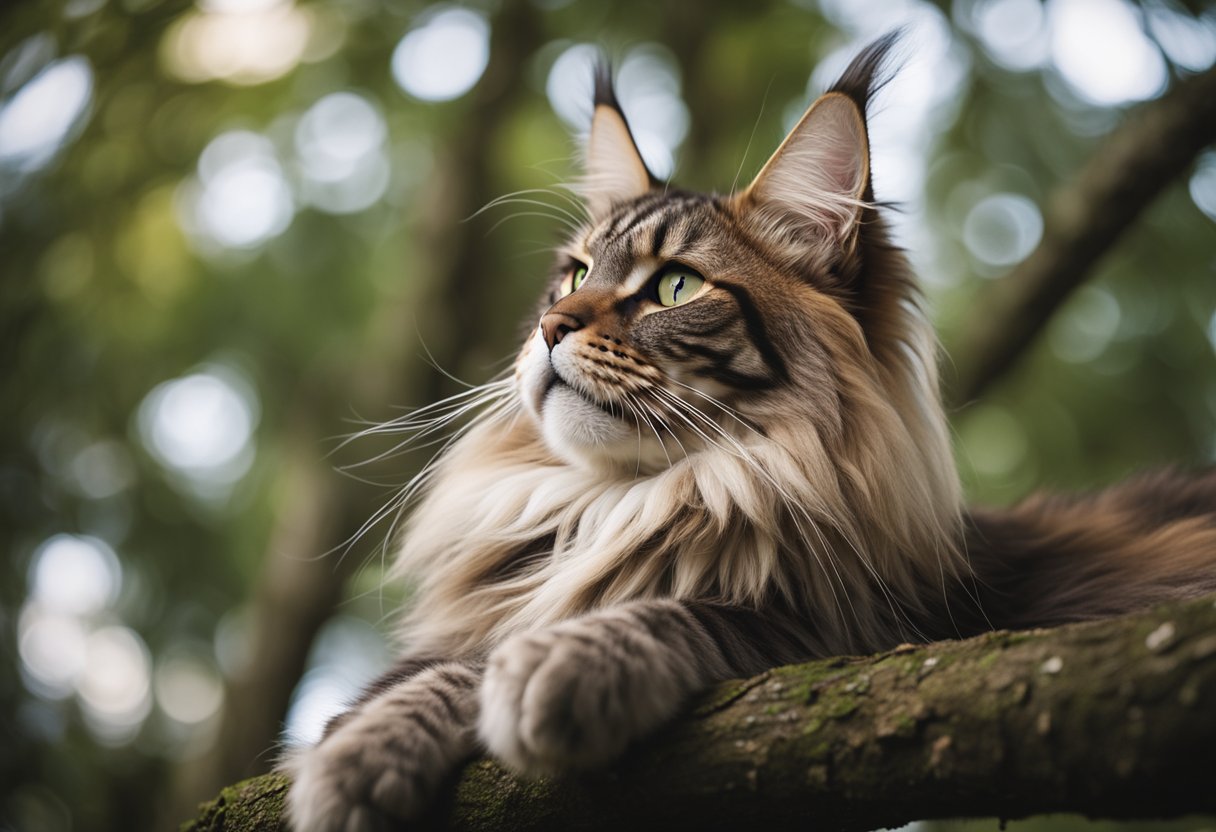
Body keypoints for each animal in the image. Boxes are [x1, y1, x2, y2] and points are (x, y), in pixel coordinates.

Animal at [284, 34, 1216, 832]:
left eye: (674, 286)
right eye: (576, 276)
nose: (550, 327)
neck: (628, 498)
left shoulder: (882, 636)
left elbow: (685, 614)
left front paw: (556, 665)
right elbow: (435, 668)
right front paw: (359, 753)